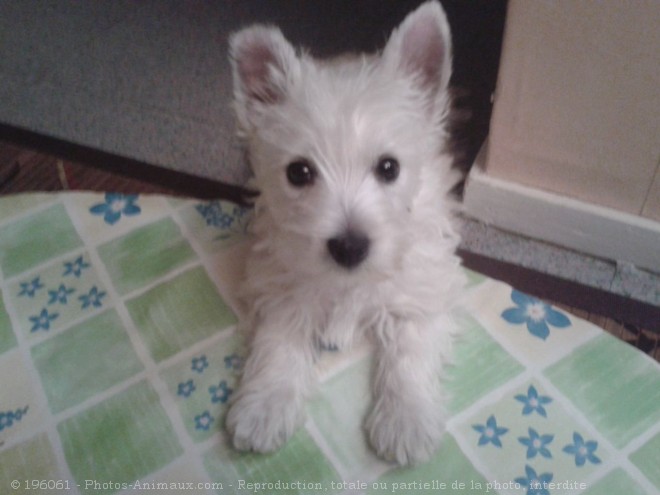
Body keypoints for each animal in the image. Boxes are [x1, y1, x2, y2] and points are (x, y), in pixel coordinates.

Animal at [227, 0, 464, 466]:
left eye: (389, 167)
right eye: (299, 172)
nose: (350, 247)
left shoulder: (422, 287)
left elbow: (409, 351)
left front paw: (406, 418)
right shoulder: (281, 287)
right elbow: (277, 344)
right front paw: (264, 406)